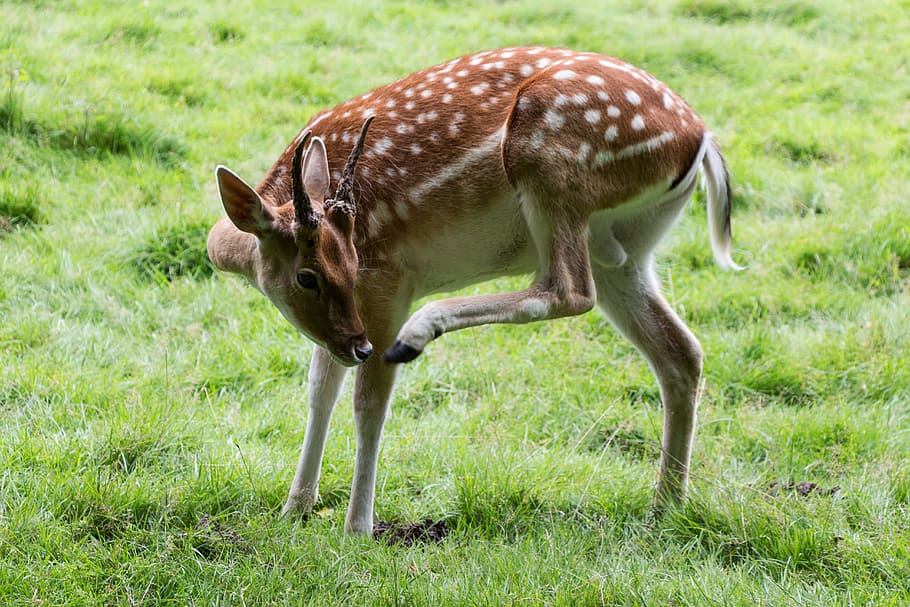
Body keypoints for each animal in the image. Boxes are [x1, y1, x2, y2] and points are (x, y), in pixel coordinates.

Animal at [207, 46, 739, 535]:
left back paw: (420, 331)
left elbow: (368, 403)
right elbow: (320, 389)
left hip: (550, 161)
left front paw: (357, 527)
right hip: (625, 248)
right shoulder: (343, 322)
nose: (360, 348)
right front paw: (294, 508)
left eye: (352, 261)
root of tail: (702, 140)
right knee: (680, 351)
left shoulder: (387, 279)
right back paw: (666, 506)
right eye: (308, 276)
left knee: (569, 289)